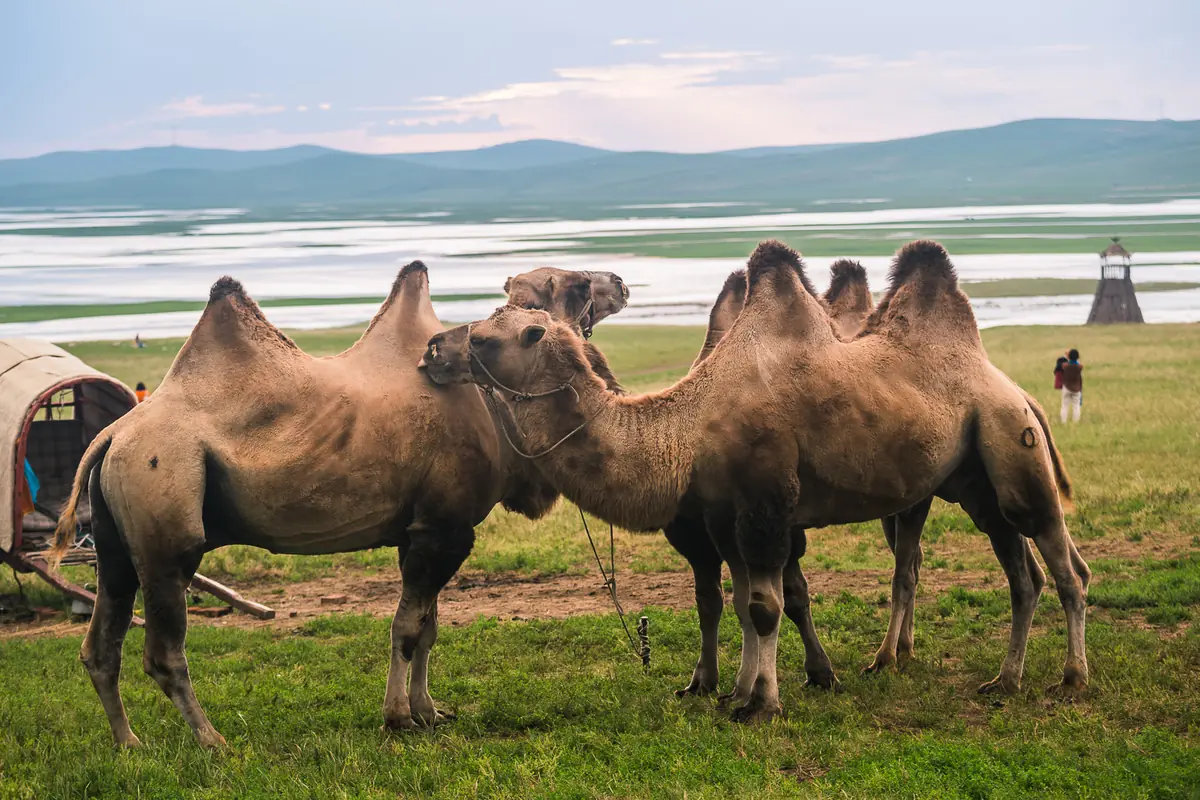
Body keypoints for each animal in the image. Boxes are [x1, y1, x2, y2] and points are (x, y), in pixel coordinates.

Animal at [49, 263, 628, 748]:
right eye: (578, 284)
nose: (620, 283)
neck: (488, 401)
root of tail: (111, 437)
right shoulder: (444, 529)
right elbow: (408, 628)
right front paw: (398, 718)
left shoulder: (424, 527)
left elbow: (429, 627)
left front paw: (429, 712)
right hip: (164, 518)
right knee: (163, 650)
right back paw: (213, 742)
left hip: (115, 542)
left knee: (101, 644)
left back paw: (129, 744)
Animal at [422, 240, 1090, 722]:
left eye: (488, 336)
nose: (432, 350)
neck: (686, 427)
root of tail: (1014, 389)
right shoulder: (724, 514)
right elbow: (741, 602)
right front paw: (735, 692)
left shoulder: (766, 503)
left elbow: (767, 606)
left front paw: (762, 703)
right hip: (973, 479)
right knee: (1019, 572)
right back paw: (1002, 679)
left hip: (1009, 443)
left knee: (1062, 563)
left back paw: (1072, 679)